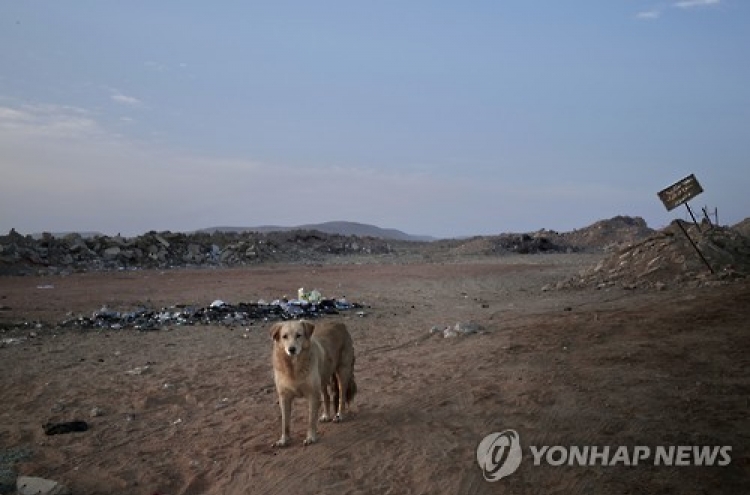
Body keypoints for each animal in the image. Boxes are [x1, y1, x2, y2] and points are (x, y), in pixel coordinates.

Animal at [270, 320, 358, 448]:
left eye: (299, 335)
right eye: (284, 336)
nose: (292, 349)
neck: (294, 368)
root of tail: (339, 323)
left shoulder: (312, 395)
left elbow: (311, 420)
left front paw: (311, 438)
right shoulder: (284, 397)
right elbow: (284, 422)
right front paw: (284, 439)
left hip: (343, 372)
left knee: (341, 397)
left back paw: (339, 415)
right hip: (322, 379)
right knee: (326, 396)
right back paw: (326, 415)